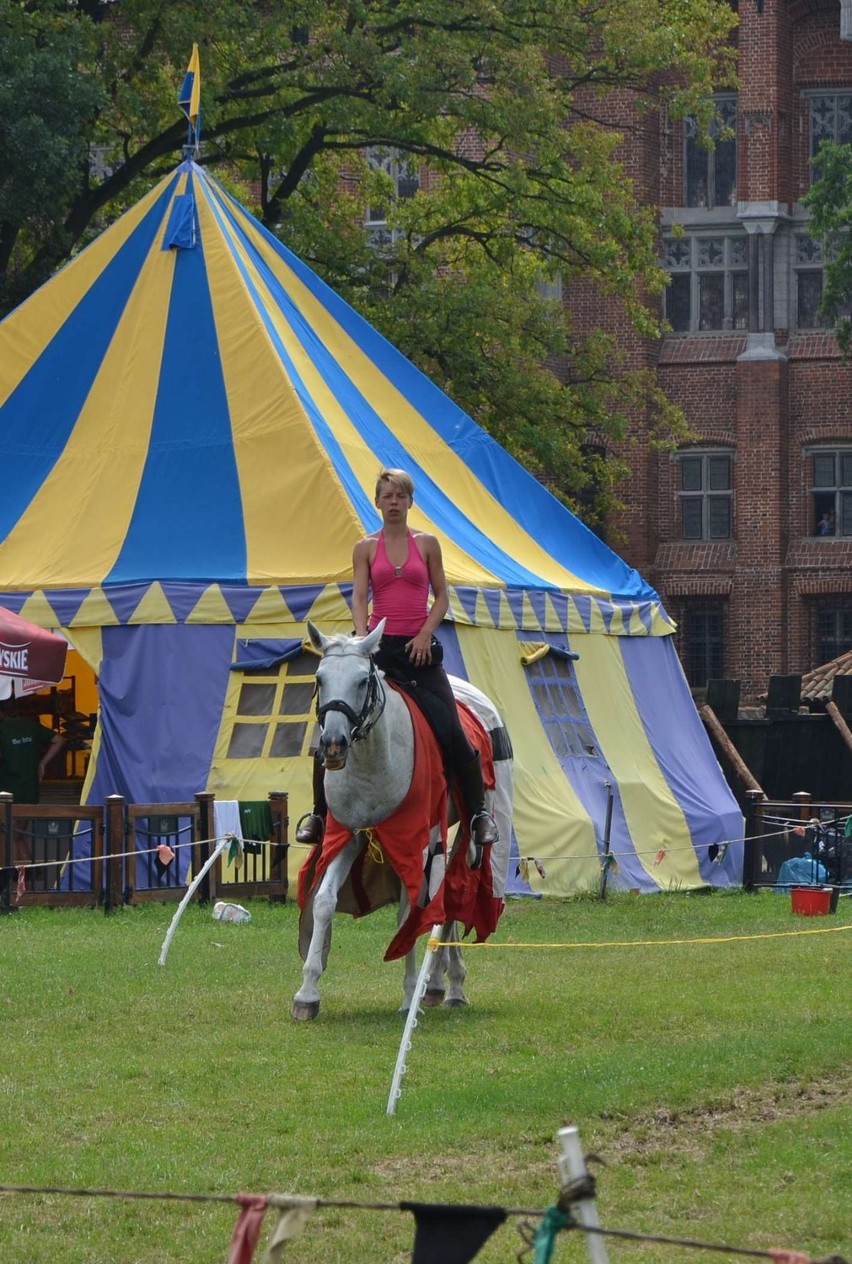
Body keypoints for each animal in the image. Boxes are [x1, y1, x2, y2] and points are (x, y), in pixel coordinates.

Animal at [293, 616, 510, 1021]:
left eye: (362, 681)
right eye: (319, 678)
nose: (333, 745)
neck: (373, 760)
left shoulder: (416, 842)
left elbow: (410, 912)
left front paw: (410, 995)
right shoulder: (349, 834)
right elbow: (324, 902)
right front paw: (307, 993)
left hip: (467, 828)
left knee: (453, 894)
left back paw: (452, 987)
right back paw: (437, 985)